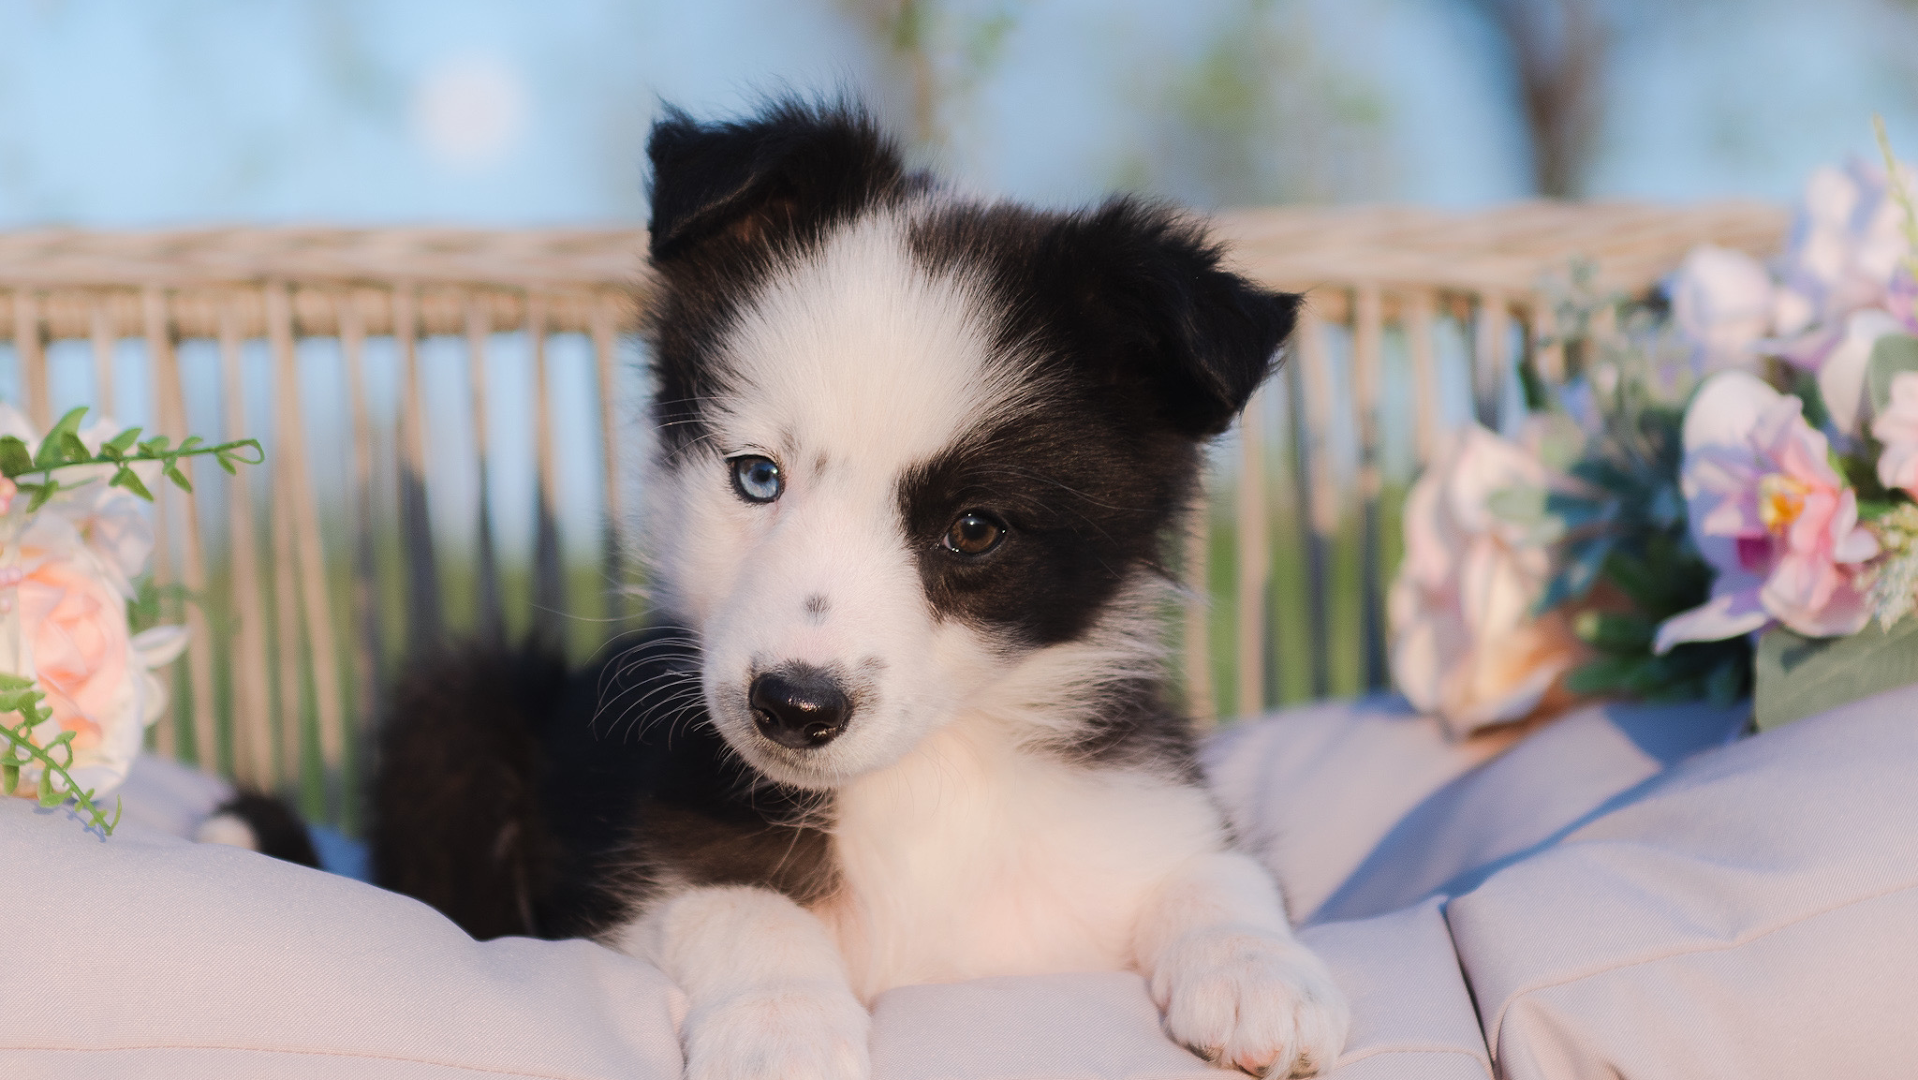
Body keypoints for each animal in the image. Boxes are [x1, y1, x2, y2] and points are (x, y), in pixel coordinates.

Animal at [370, 101, 1350, 1080]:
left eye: (975, 529)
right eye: (758, 476)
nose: (793, 708)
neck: (921, 780)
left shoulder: (1134, 806)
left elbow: (1217, 868)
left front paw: (1262, 978)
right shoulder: (630, 885)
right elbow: (739, 902)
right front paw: (781, 1027)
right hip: (455, 706)